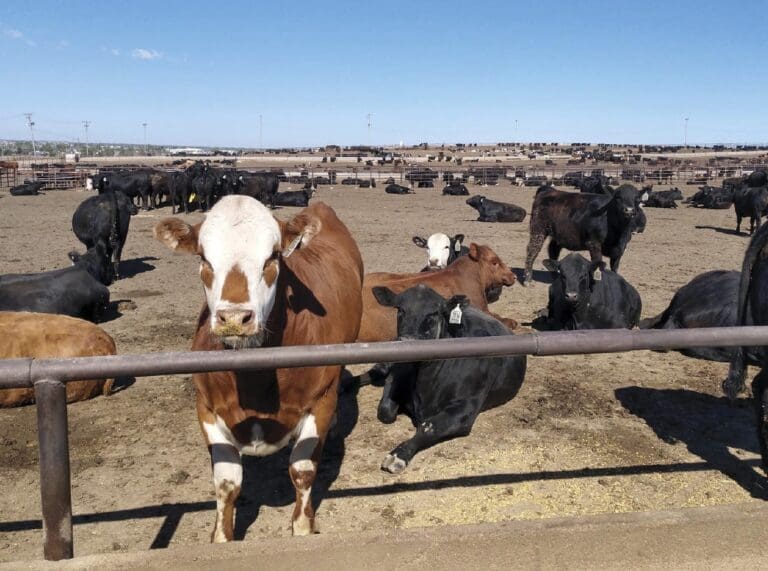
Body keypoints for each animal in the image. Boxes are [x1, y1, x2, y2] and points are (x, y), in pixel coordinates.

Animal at [154, 199, 364, 544]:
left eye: (273, 256)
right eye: (203, 257)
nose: (234, 318)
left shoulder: (320, 400)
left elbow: (302, 470)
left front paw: (303, 526)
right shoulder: (206, 406)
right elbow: (227, 481)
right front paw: (221, 537)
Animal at [372, 286, 528, 474]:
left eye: (433, 313)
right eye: (400, 310)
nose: (406, 341)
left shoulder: (466, 407)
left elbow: (429, 427)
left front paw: (398, 455)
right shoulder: (394, 379)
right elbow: (386, 411)